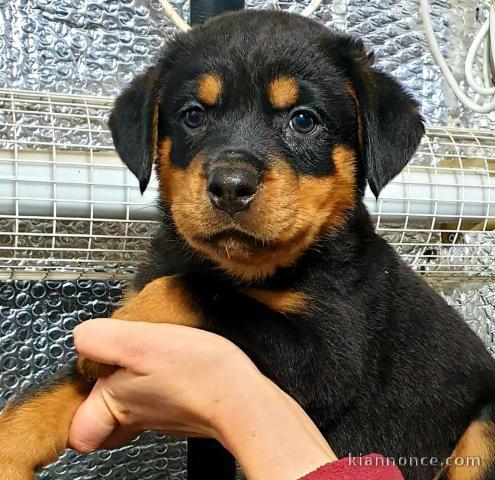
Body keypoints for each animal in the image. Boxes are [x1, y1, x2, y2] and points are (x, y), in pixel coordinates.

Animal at [0, 10, 495, 480]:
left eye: (303, 120)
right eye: (193, 115)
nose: (230, 186)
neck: (242, 268)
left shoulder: (330, 355)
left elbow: (204, 294)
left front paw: (130, 319)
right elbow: (44, 395)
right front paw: (12, 442)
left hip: (484, 426)